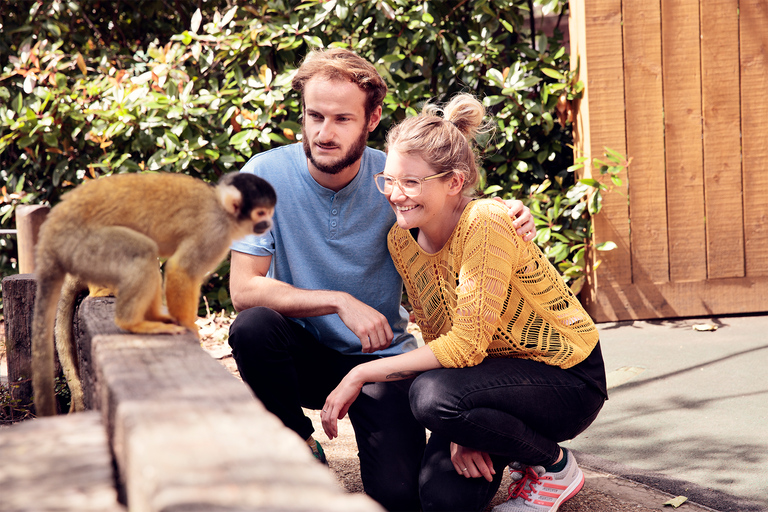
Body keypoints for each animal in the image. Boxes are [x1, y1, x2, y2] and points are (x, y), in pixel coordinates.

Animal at [31, 172, 276, 416]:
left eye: (270, 212)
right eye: (261, 213)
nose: (269, 224)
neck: (223, 210)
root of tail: (50, 233)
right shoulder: (214, 232)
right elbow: (181, 269)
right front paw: (189, 327)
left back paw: (152, 317)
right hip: (82, 244)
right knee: (142, 252)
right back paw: (131, 320)